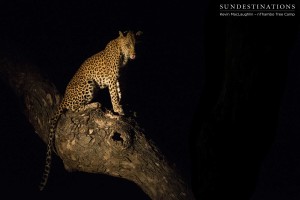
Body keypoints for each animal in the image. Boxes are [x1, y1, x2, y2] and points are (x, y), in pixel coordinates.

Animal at [38, 30, 142, 191]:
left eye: (135, 44)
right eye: (127, 45)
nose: (134, 55)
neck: (122, 55)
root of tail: (64, 98)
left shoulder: (120, 78)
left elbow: (120, 93)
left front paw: (123, 106)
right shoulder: (112, 78)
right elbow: (114, 94)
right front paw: (117, 109)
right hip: (89, 84)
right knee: (73, 109)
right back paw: (94, 105)